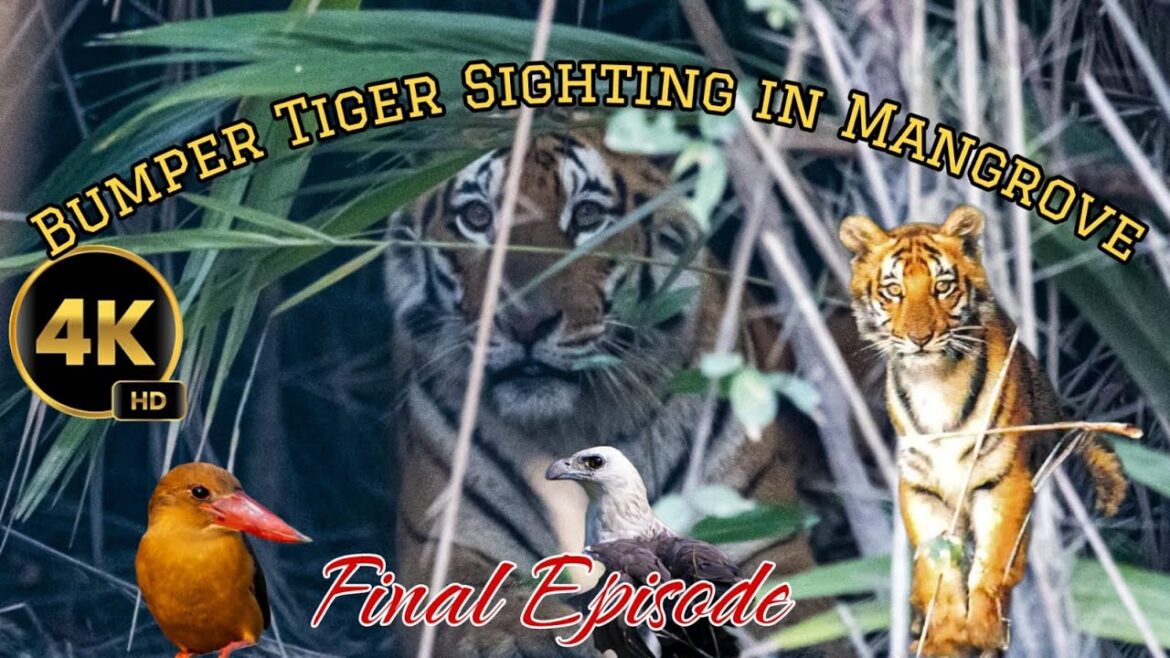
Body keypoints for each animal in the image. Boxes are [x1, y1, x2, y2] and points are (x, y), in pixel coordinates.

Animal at [384, 131, 828, 656]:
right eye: (477, 217)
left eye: (588, 216)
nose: (523, 321)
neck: (574, 422)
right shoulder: (446, 548)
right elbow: (486, 609)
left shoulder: (765, 543)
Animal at [838, 205, 1127, 657]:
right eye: (893, 290)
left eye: (942, 287)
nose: (920, 339)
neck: (934, 383)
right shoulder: (920, 486)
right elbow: (938, 562)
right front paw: (945, 633)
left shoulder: (1003, 480)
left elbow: (992, 560)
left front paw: (981, 629)